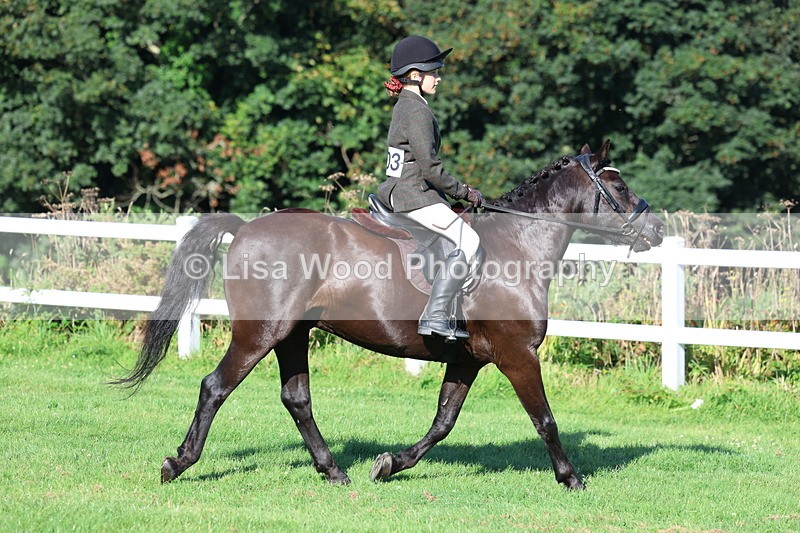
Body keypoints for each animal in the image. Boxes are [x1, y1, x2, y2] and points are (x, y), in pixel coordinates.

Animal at [116, 140, 665, 490]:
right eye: (618, 186)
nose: (657, 229)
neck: (518, 247)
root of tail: (247, 228)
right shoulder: (517, 355)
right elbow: (545, 419)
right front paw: (572, 478)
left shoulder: (467, 359)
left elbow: (443, 422)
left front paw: (390, 464)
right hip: (260, 333)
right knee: (216, 386)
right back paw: (178, 464)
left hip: (292, 335)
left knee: (297, 399)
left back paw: (334, 471)